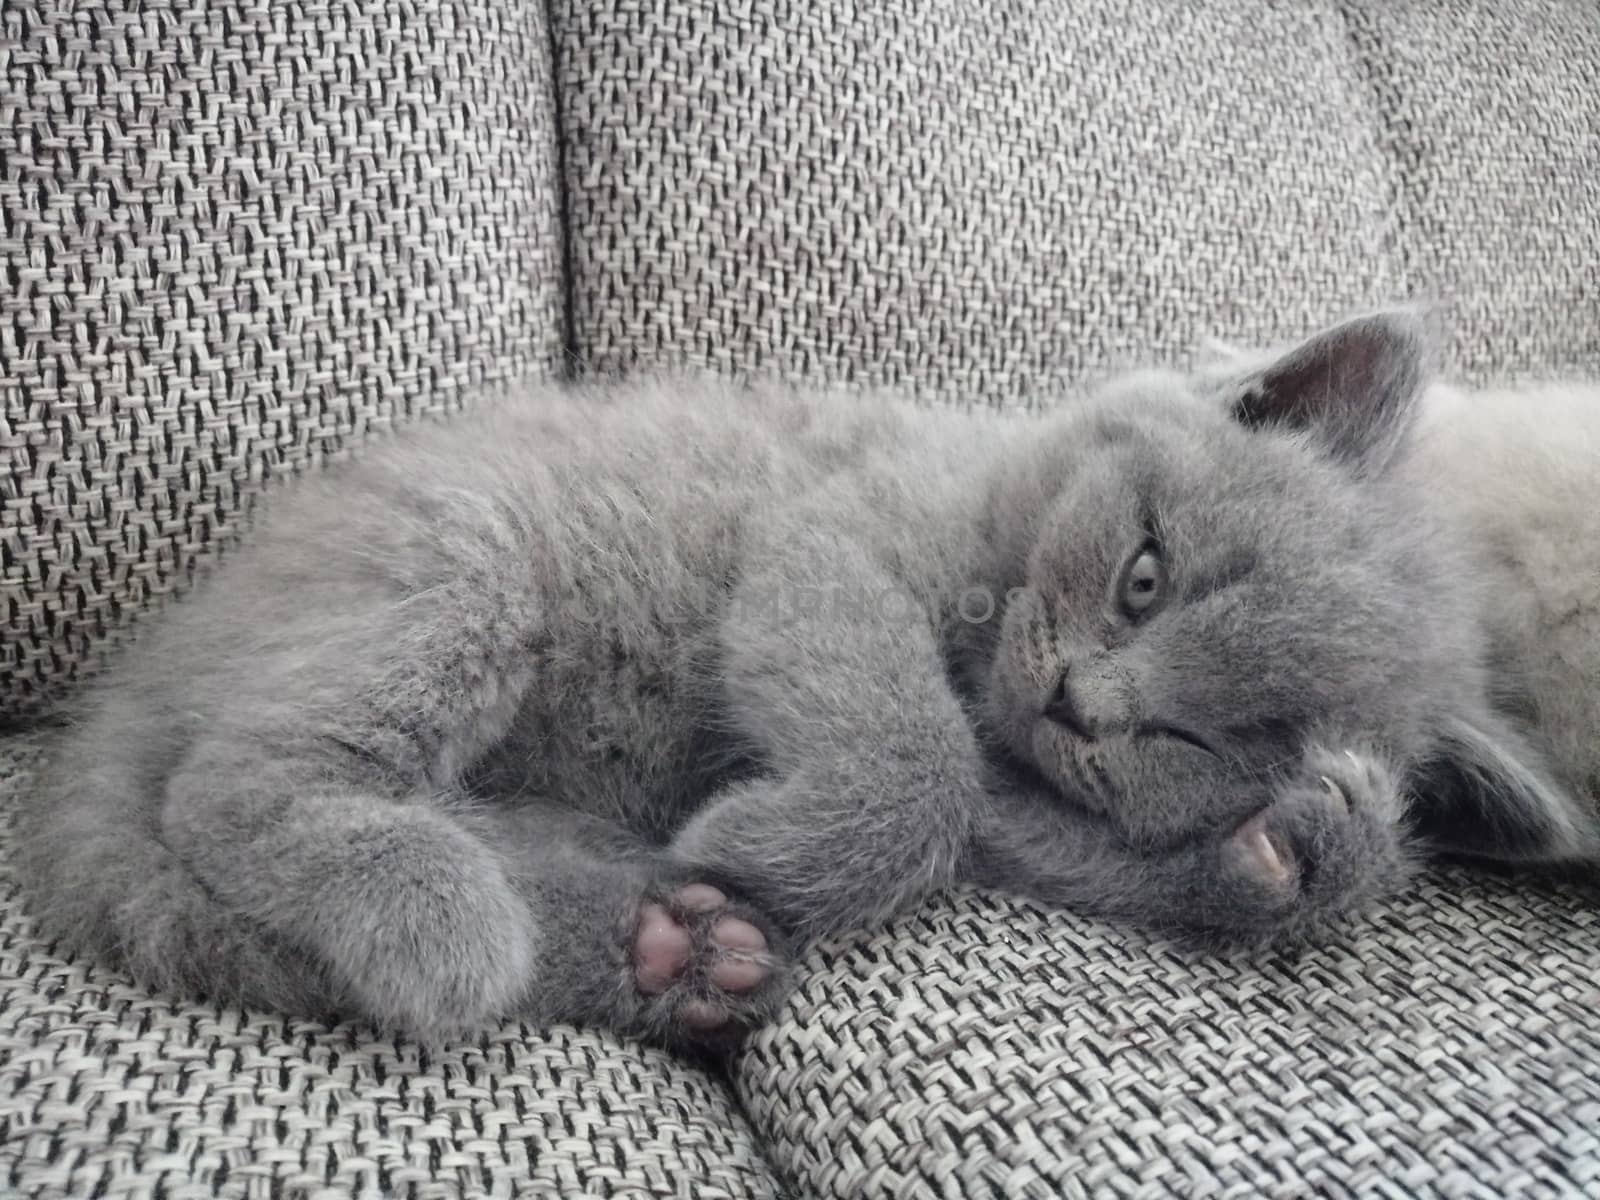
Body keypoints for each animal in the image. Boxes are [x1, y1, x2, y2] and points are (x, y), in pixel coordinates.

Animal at [15, 312, 1600, 1049]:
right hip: (454, 568)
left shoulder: (1030, 805)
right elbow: (915, 757)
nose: (1081, 704)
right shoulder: (833, 536)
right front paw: (774, 844)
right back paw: (448, 914)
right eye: (1147, 574)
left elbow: (1015, 823)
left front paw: (1307, 848)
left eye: (1220, 737)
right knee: (230, 786)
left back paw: (673, 947)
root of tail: (135, 681)